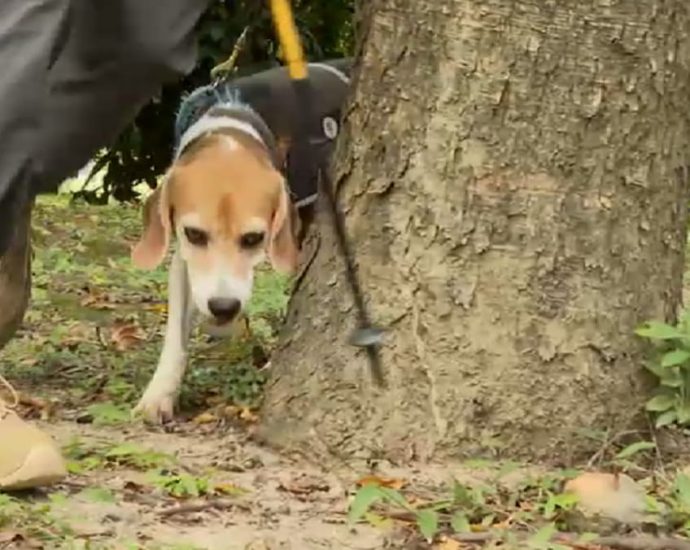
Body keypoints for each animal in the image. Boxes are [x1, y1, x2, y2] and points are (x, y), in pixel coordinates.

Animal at [132, 59, 352, 422]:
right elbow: (175, 335)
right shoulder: (184, 262)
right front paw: (159, 394)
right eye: (194, 234)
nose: (223, 307)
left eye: (253, 239)